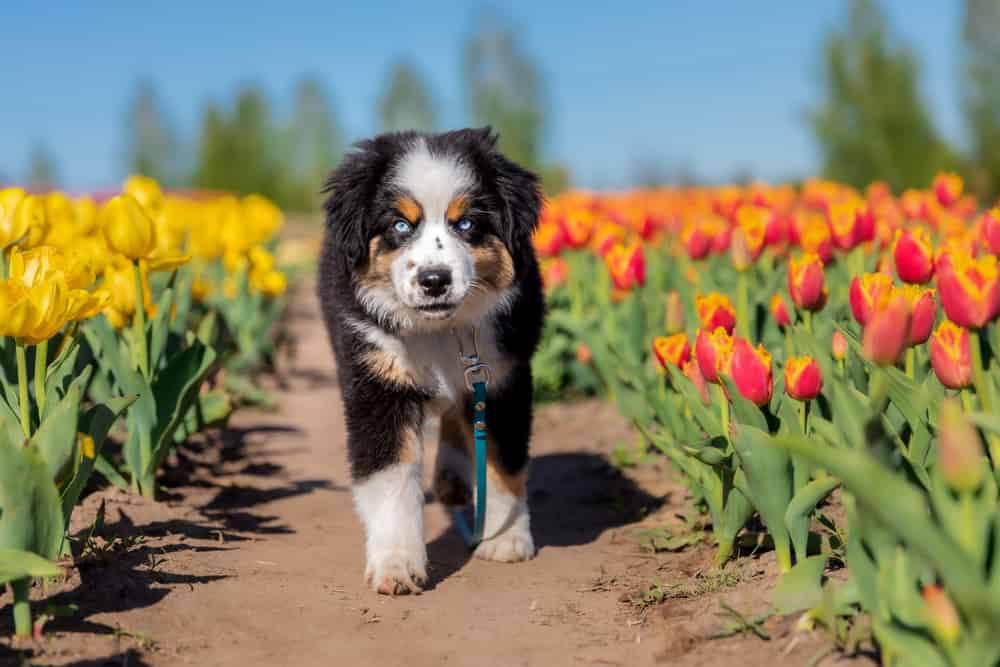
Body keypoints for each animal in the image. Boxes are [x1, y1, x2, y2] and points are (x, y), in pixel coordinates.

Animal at [316, 126, 544, 596]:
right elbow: (391, 482)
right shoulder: (377, 384)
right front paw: (396, 564)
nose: (434, 280)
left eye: (468, 223)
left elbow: (503, 463)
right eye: (400, 225)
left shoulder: (504, 378)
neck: (440, 331)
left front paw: (506, 538)